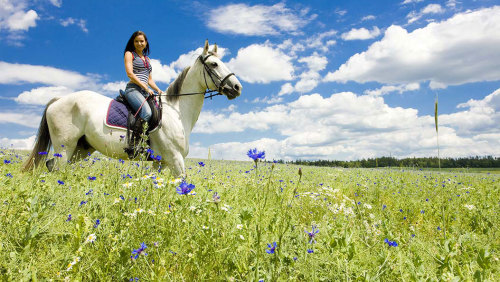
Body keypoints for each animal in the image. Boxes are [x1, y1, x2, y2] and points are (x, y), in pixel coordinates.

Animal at [23, 40, 242, 176]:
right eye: (213, 64)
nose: (237, 87)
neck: (177, 112)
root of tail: (58, 100)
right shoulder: (175, 159)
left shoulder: (160, 162)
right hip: (65, 147)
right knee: (56, 168)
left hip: (80, 149)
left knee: (51, 167)